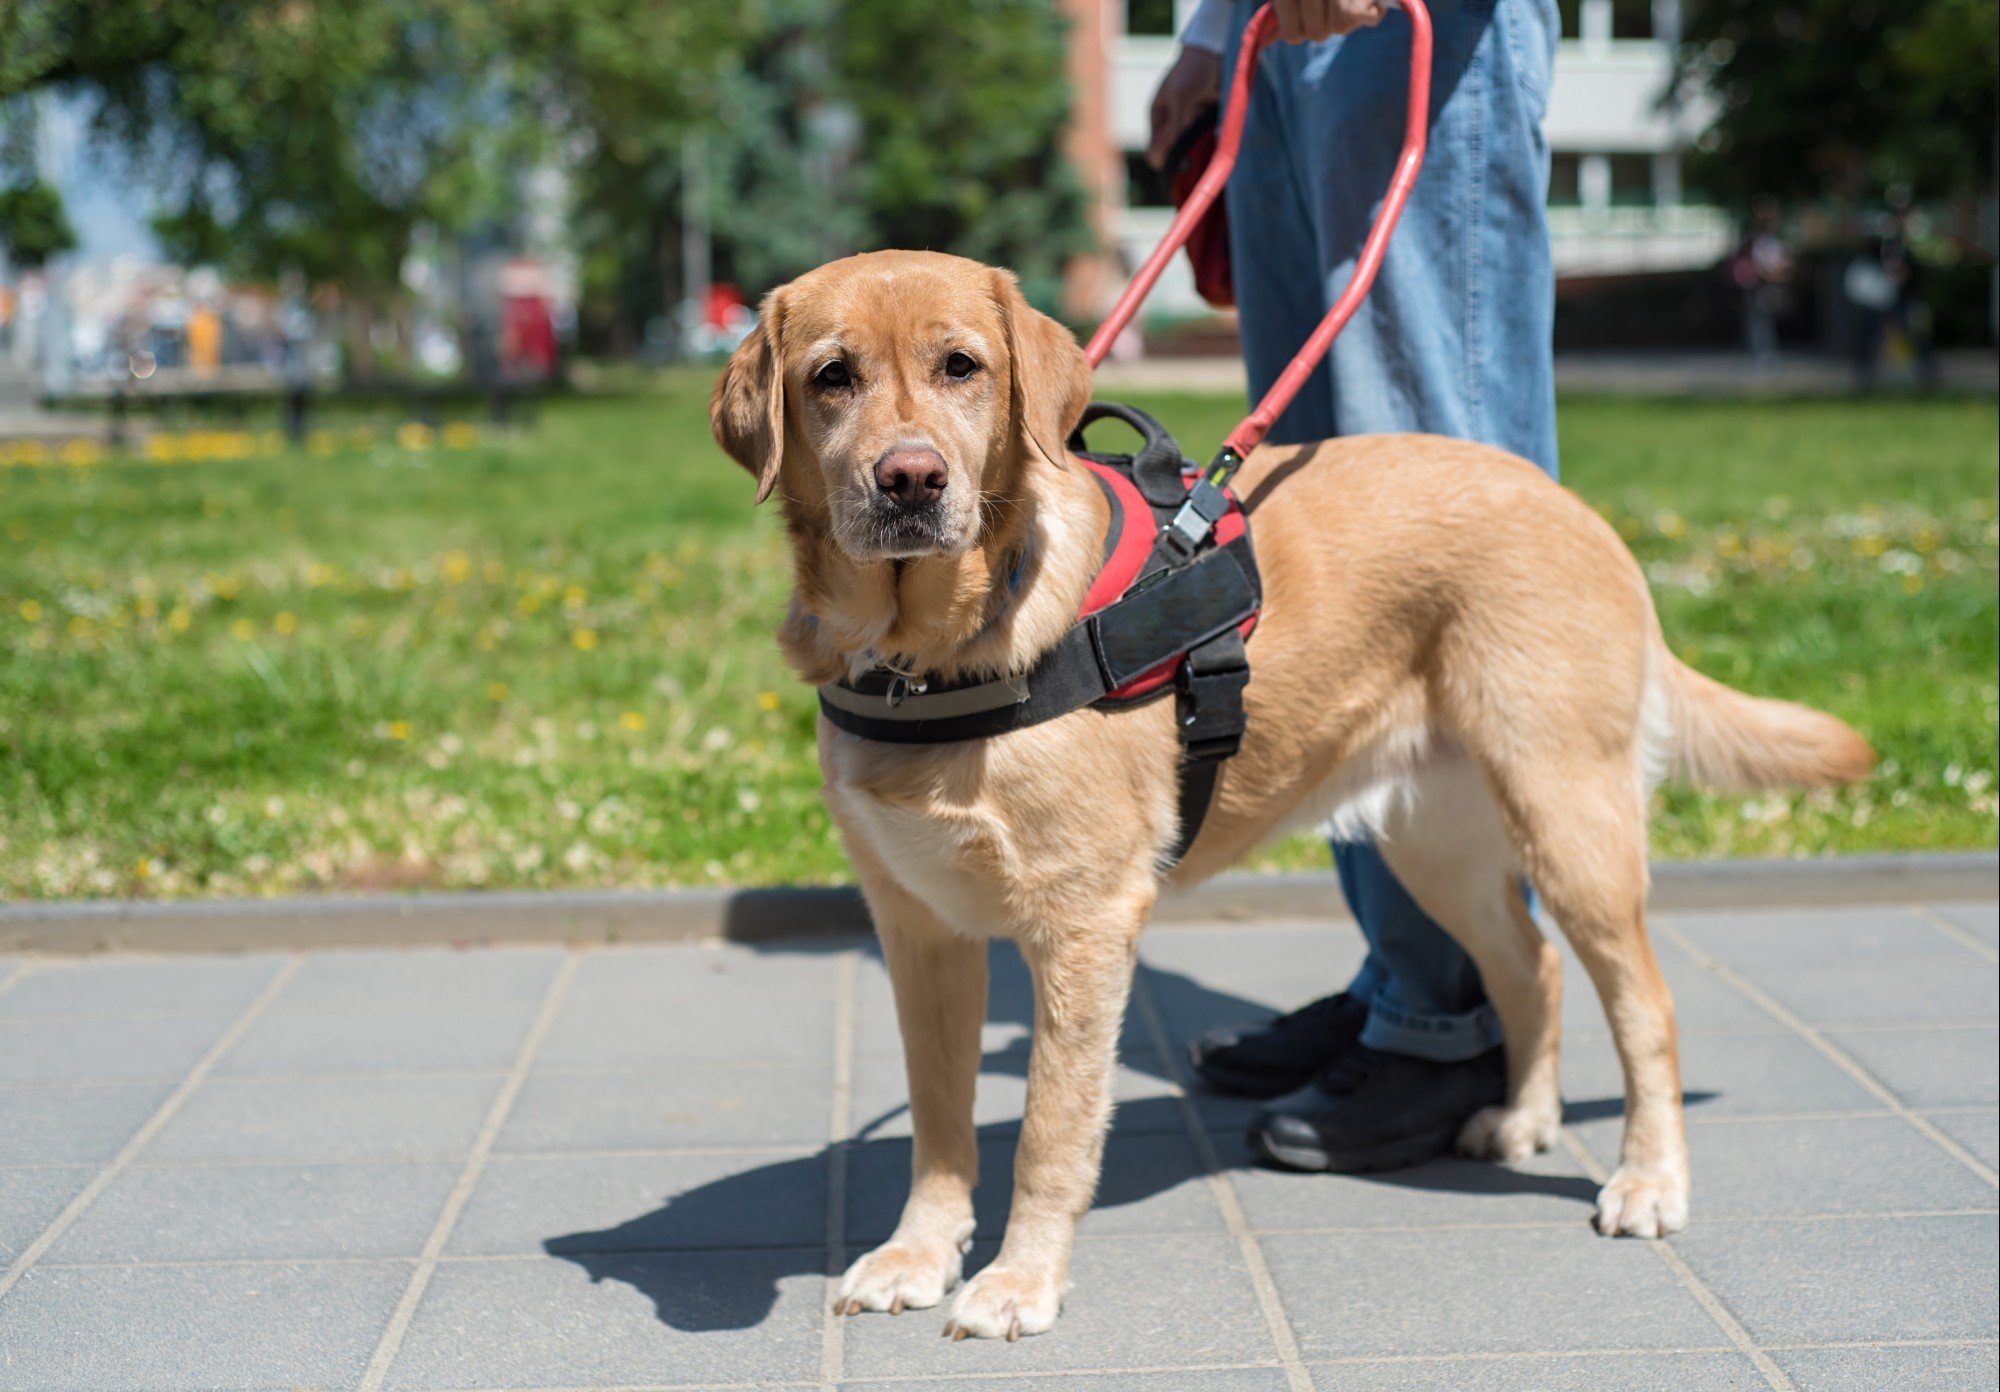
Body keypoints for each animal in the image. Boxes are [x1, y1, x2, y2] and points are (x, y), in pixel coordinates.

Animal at [708, 247, 1872, 1336]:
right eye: (832, 377)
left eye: (961, 367)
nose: (909, 480)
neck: (927, 654)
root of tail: (1572, 503)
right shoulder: (919, 929)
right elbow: (938, 1121)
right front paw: (918, 1254)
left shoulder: (1083, 924)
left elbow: (1048, 1126)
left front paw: (1019, 1281)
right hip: (1435, 844)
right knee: (1526, 963)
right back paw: (1522, 1118)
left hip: (1567, 816)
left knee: (1644, 1003)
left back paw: (1649, 1180)